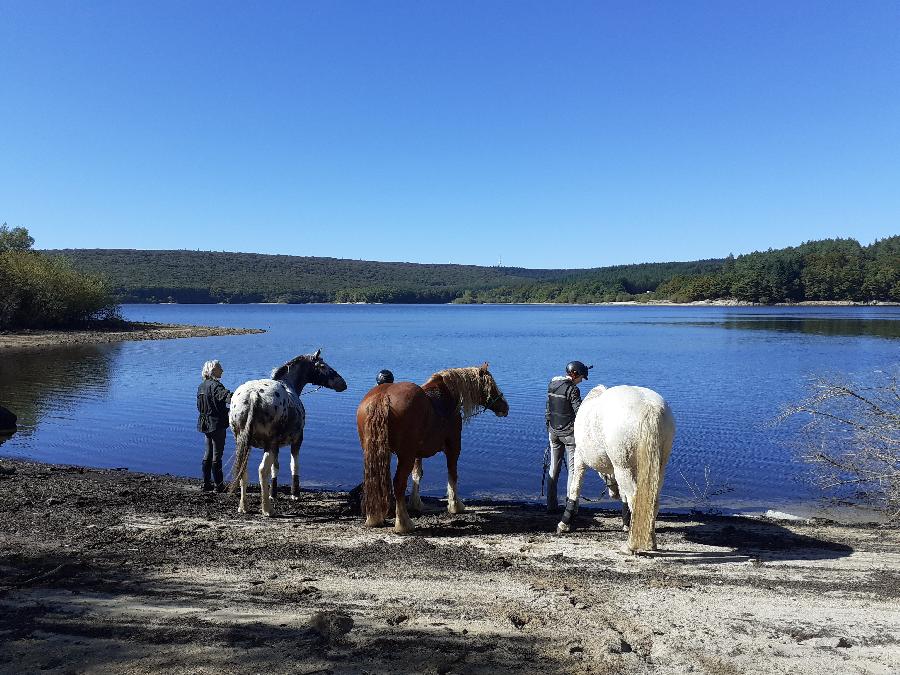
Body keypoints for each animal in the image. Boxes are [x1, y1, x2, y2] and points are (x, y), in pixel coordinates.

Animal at [229, 352, 348, 516]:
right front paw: (295, 494)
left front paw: (273, 493)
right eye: (323, 366)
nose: (342, 384)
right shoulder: (297, 440)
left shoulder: (276, 446)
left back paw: (244, 506)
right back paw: (267, 509)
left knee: (243, 470)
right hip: (269, 443)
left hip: (243, 443)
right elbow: (294, 465)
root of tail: (253, 395)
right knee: (262, 470)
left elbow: (275, 467)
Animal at [360, 362, 512, 536]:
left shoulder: (417, 454)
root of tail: (383, 397)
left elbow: (417, 475)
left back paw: (375, 518)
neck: (448, 398)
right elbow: (452, 474)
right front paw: (455, 505)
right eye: (491, 385)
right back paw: (403, 523)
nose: (505, 407)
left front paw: (416, 503)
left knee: (373, 480)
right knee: (398, 484)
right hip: (405, 455)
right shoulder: (453, 446)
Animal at [556, 386, 676, 556]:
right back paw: (651, 542)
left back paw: (630, 546)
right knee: (652, 502)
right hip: (658, 469)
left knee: (635, 499)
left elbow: (575, 488)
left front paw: (564, 524)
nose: (613, 494)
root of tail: (649, 407)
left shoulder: (580, 457)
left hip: (623, 467)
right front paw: (626, 523)